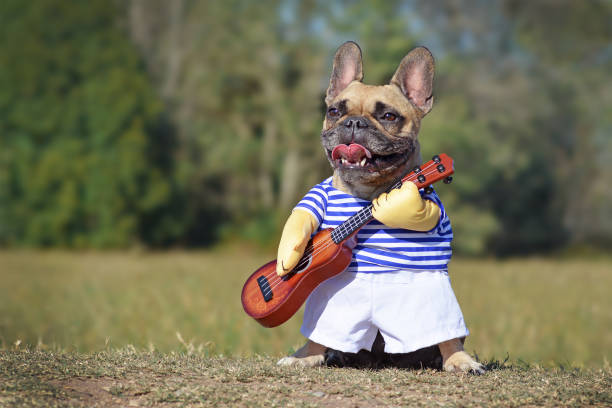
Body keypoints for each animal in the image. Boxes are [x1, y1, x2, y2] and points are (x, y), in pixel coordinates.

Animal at [274, 41, 486, 372]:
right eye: (334, 111)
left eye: (388, 116)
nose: (353, 122)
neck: (366, 191)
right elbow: (303, 215)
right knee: (321, 336)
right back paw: (309, 355)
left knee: (446, 333)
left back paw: (456, 358)